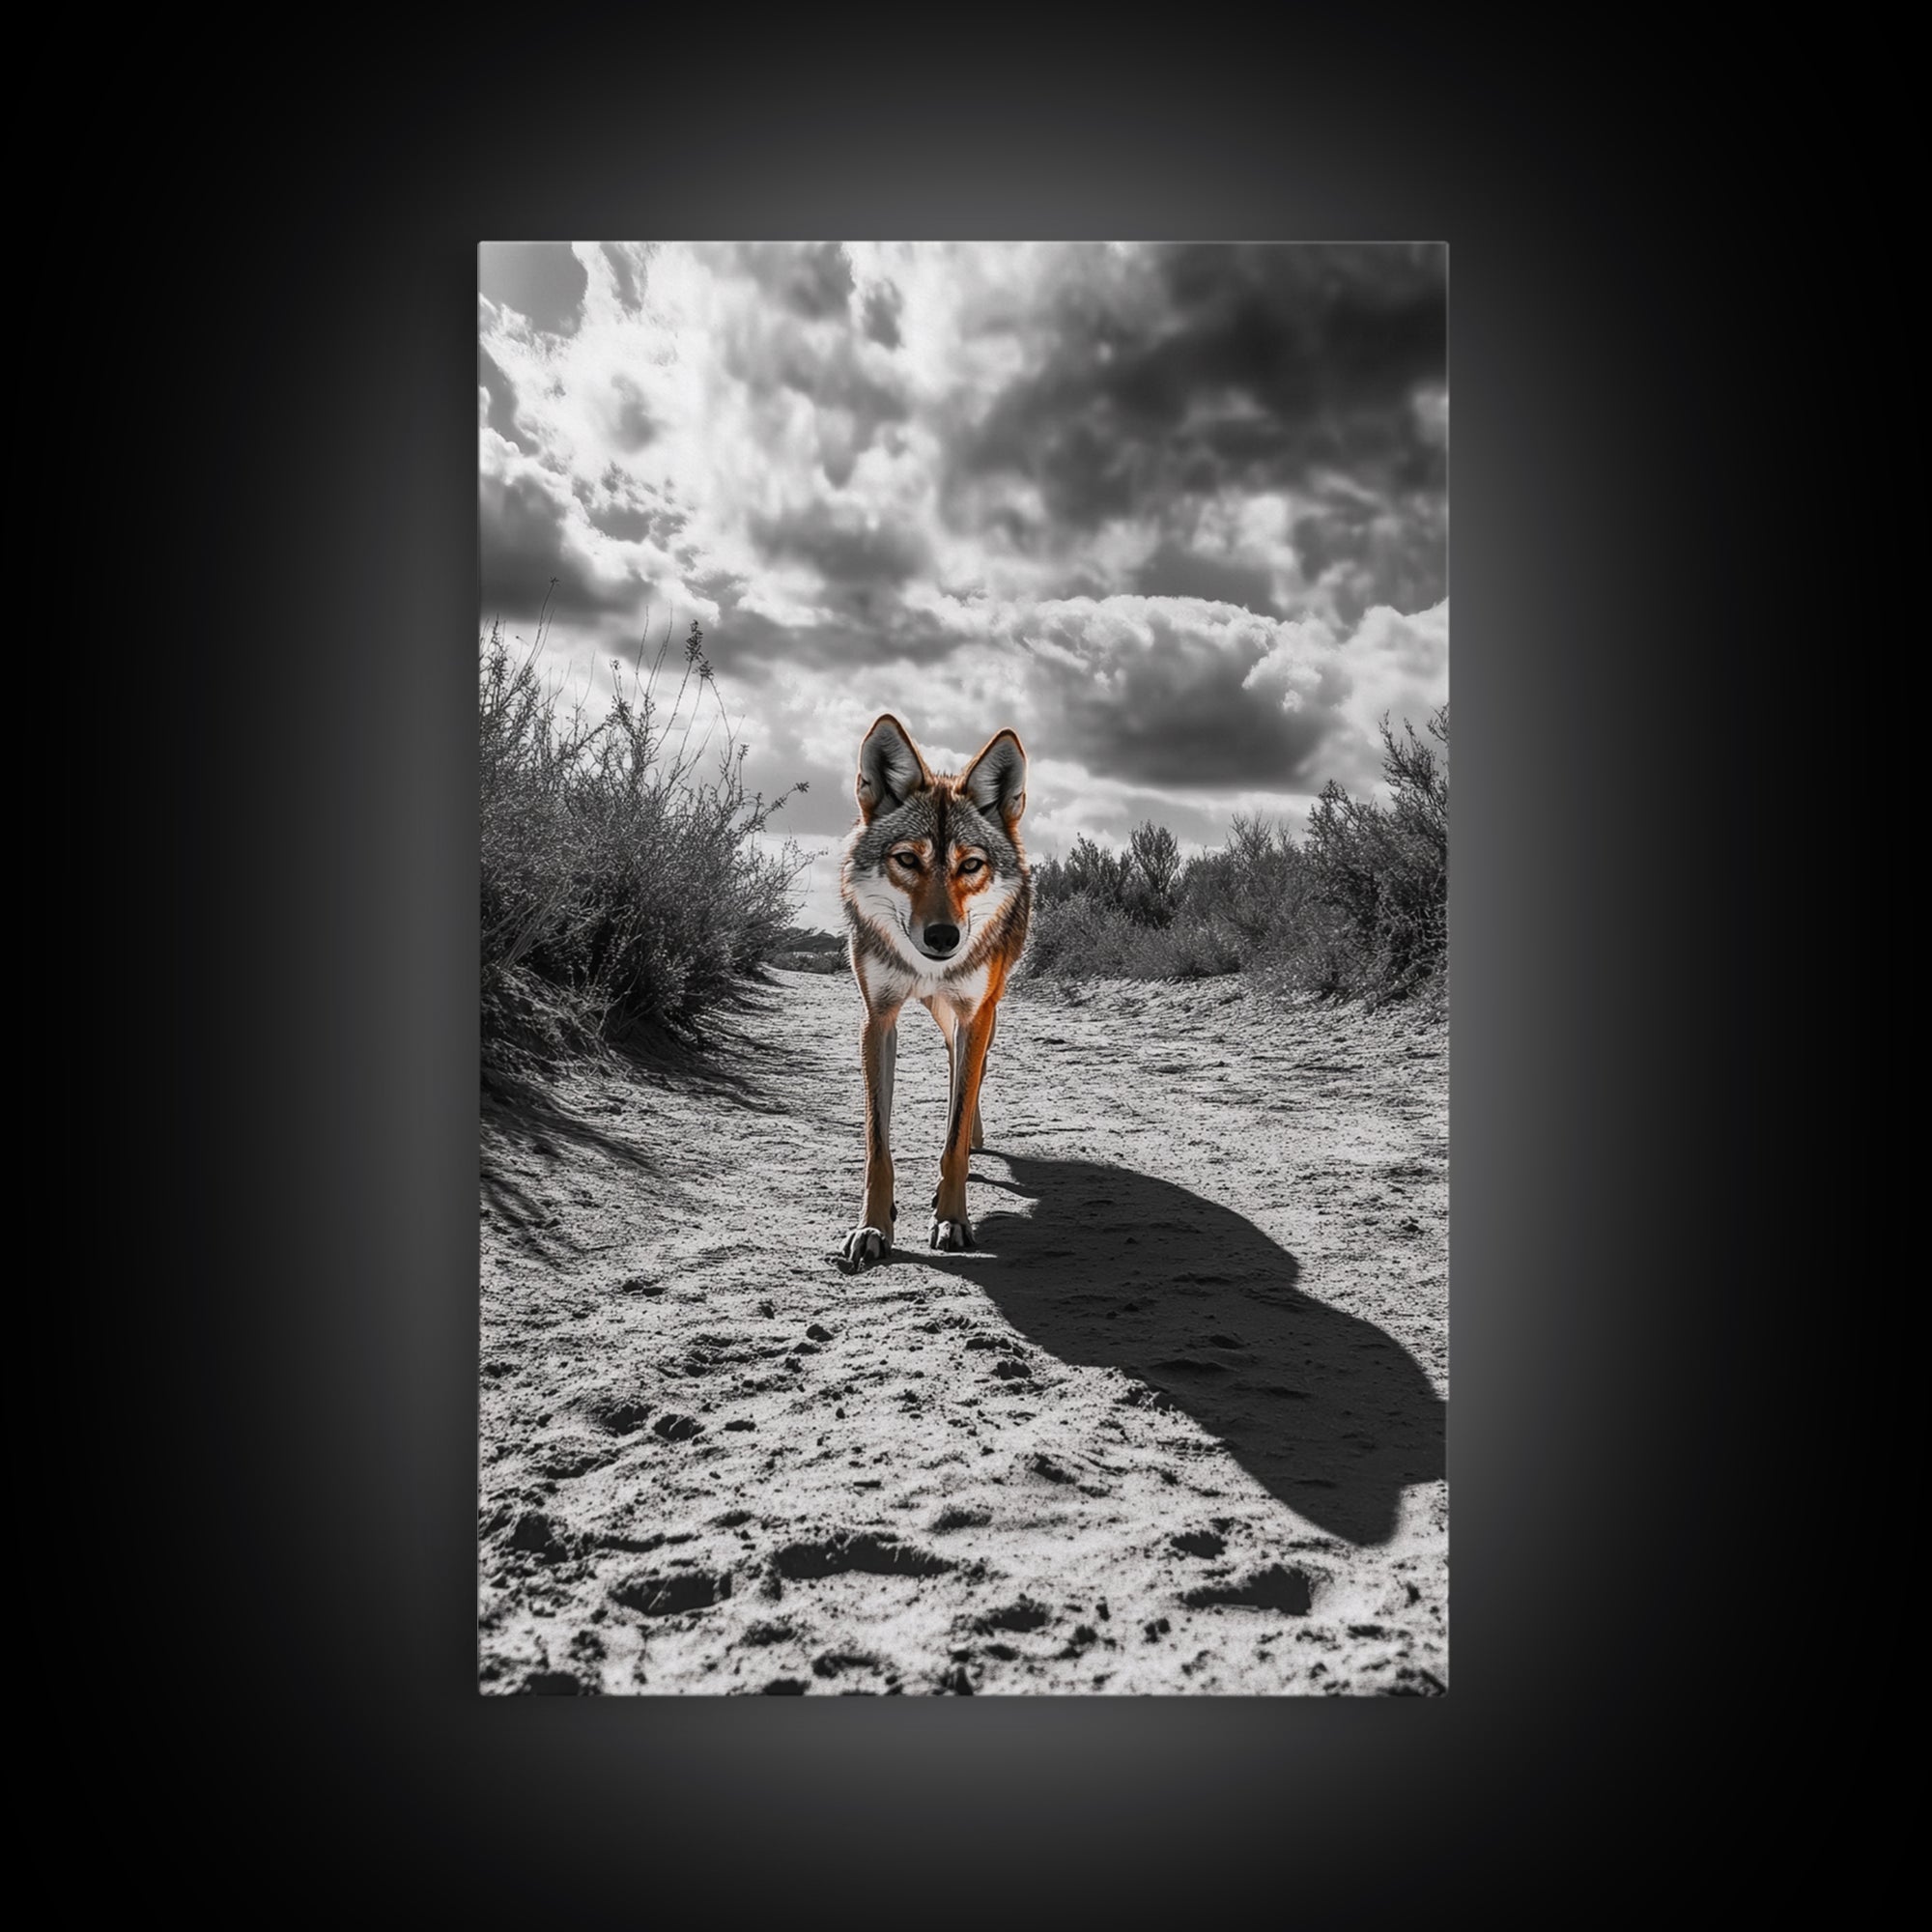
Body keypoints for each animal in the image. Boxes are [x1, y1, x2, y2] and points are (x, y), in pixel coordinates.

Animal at [836, 714, 1031, 1270]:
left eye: (970, 865)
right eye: (907, 859)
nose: (943, 937)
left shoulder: (975, 1014)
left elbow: (955, 1128)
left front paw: (951, 1218)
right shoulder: (877, 1018)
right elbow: (877, 1145)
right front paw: (872, 1228)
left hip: (980, 1014)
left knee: (969, 1079)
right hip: (945, 1017)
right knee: (954, 1063)